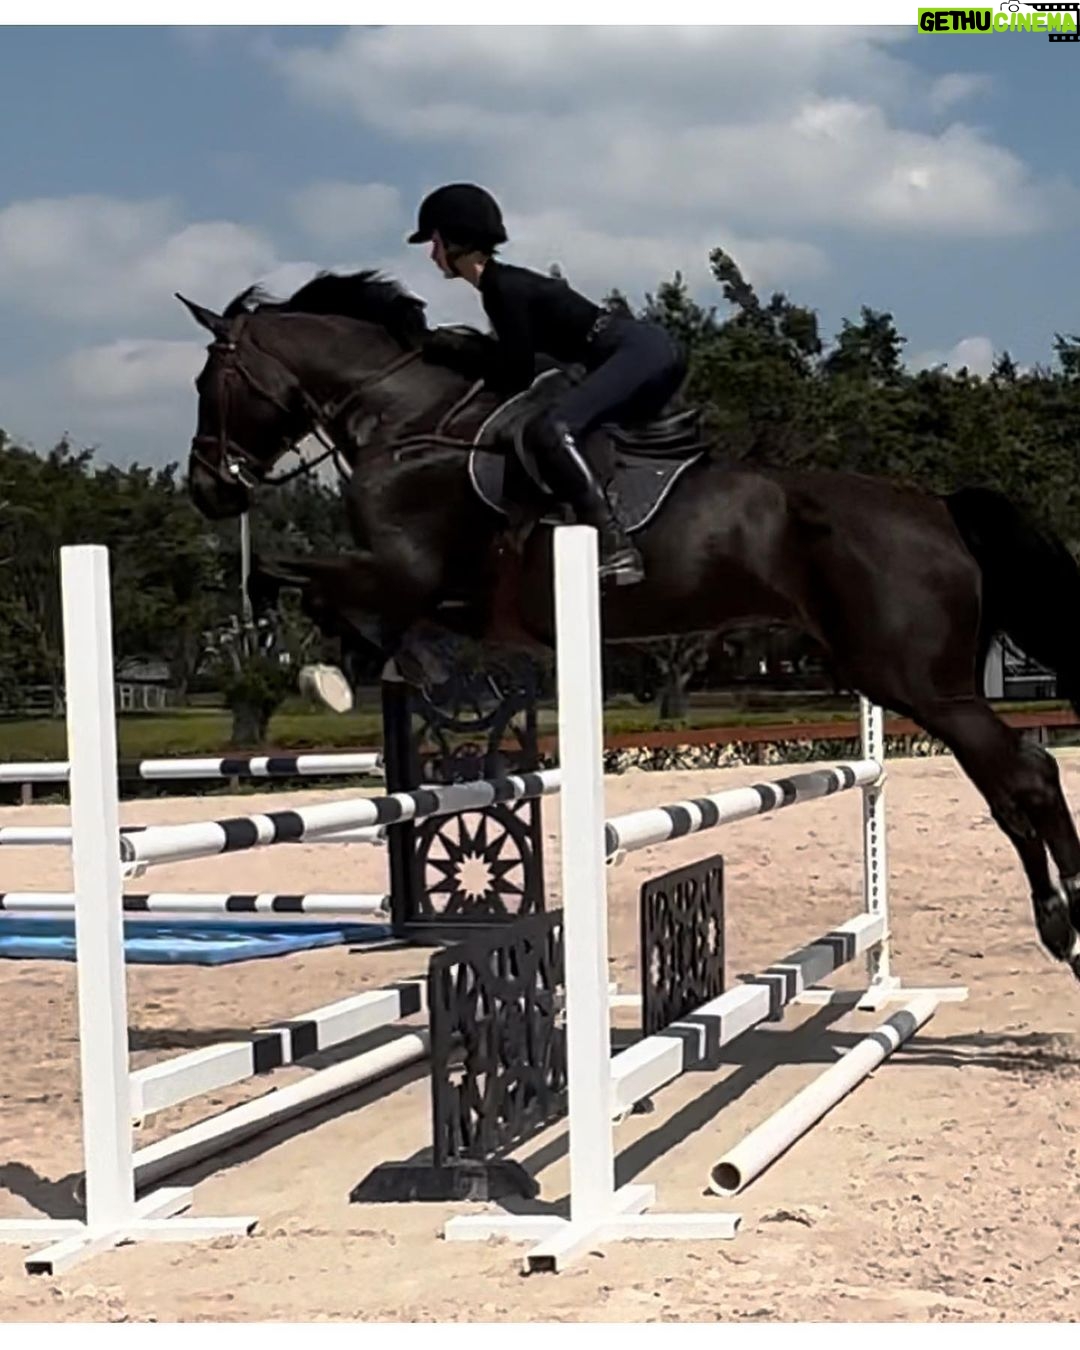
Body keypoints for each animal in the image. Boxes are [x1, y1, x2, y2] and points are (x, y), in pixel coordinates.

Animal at [181, 269, 1080, 983]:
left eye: (206, 383)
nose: (208, 491)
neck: (410, 423)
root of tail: (940, 507)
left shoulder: (407, 572)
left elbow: (286, 580)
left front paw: (325, 673)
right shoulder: (450, 598)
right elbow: (318, 596)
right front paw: (368, 665)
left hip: (920, 682)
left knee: (1029, 773)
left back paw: (1066, 923)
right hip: (901, 679)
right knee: (1013, 784)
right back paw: (1062, 922)